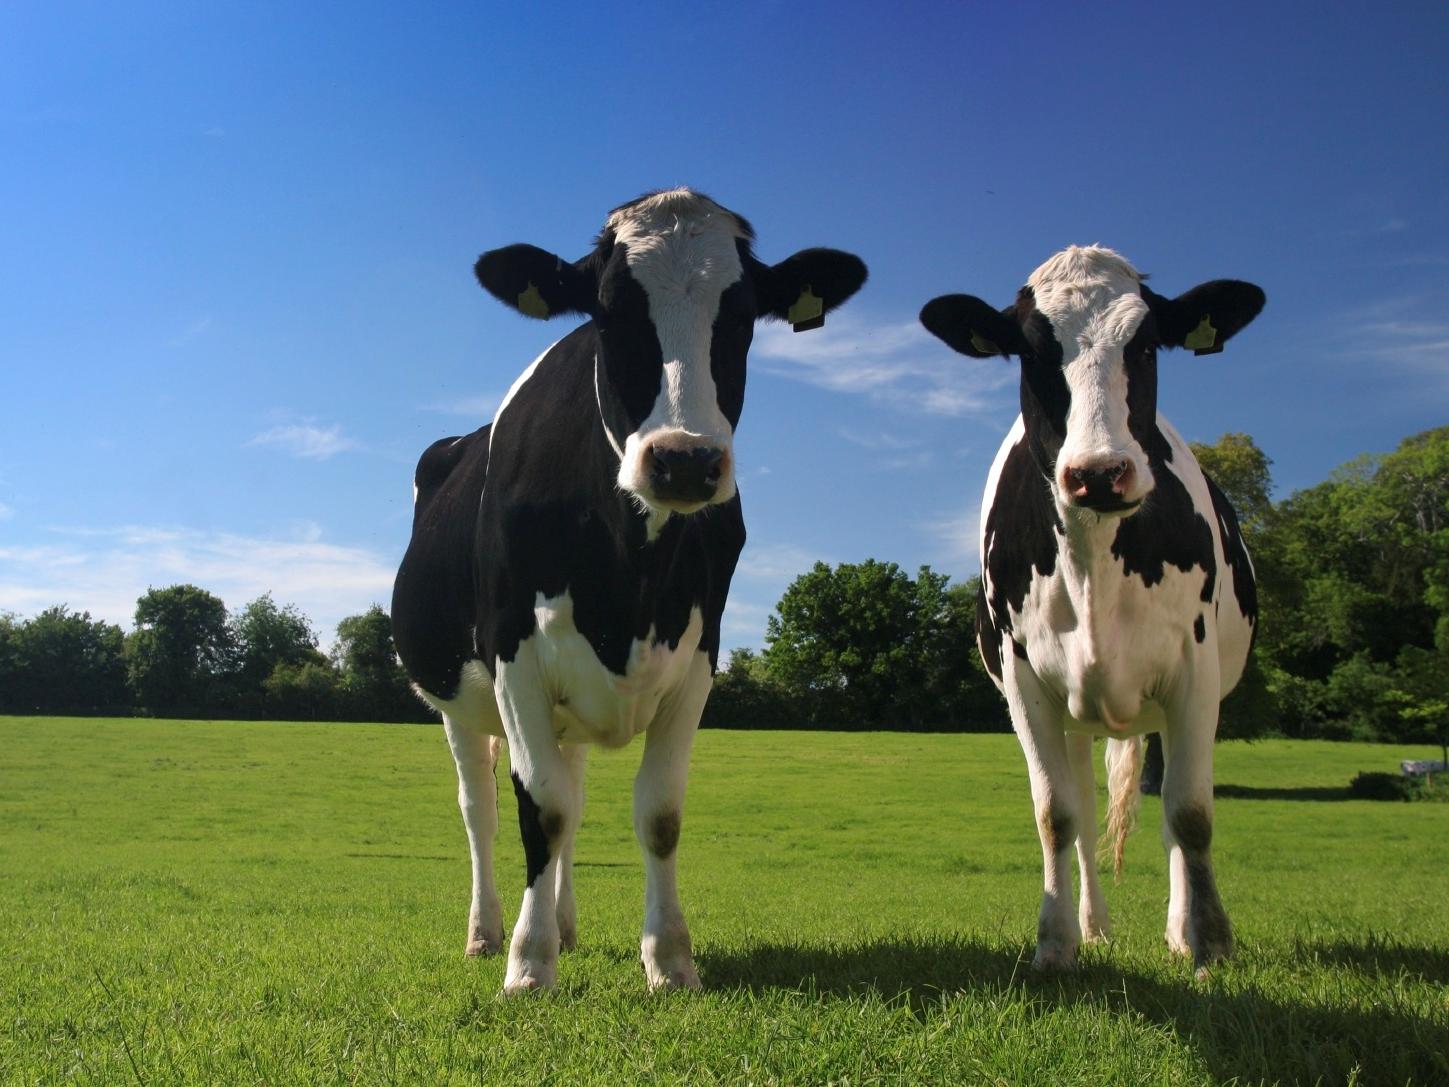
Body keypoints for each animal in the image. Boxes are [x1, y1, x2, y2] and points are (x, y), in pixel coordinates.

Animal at [391, 189, 867, 992]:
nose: (684, 460)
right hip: (457, 699)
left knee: (573, 794)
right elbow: (540, 809)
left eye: (741, 318)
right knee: (483, 807)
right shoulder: (513, 653)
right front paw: (528, 965)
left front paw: (669, 959)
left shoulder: (699, 654)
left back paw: (564, 924)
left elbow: (657, 813)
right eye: (609, 313)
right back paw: (488, 932)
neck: (630, 580)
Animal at [919, 246, 1264, 974]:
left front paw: (1208, 940)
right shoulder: (1024, 680)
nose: (1100, 473)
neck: (1094, 568)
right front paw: (1054, 943)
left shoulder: (1194, 671)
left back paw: (1175, 927)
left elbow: (1190, 813)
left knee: (1166, 808)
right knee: (1080, 804)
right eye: (1028, 349)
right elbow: (1056, 814)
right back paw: (1094, 926)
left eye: (1147, 344)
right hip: (1076, 715)